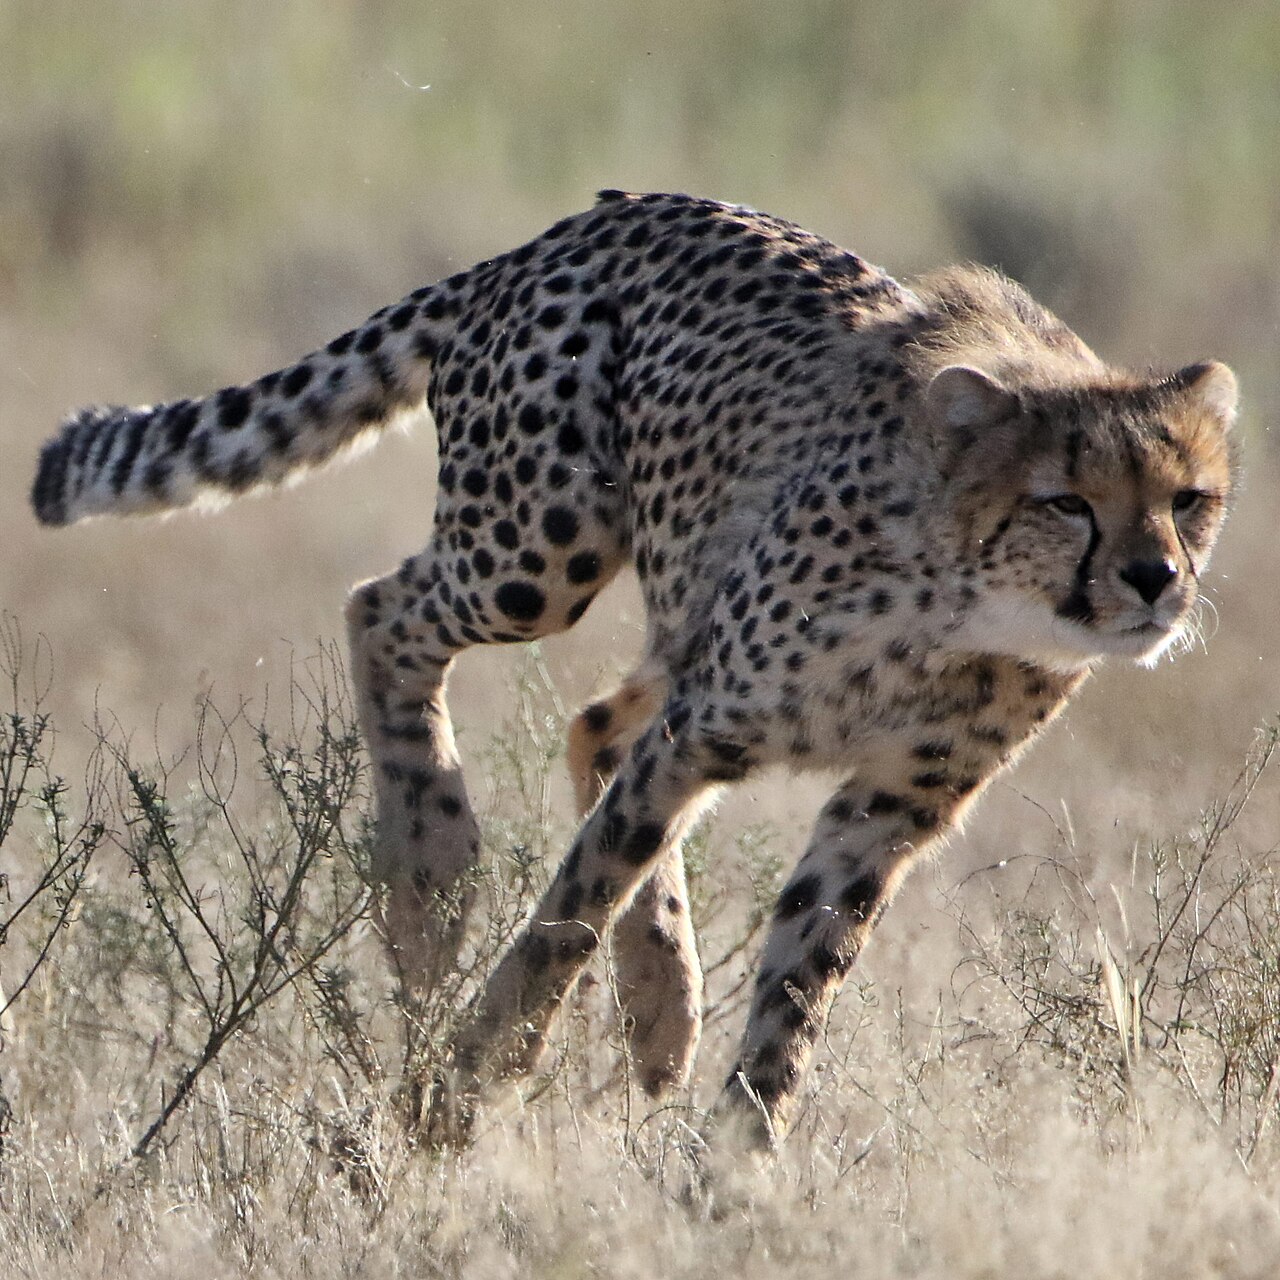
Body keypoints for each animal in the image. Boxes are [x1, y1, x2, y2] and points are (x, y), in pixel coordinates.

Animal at [32, 190, 1239, 1151]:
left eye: (1189, 498)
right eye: (1066, 500)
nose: (1153, 581)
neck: (970, 610)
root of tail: (573, 226)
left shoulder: (887, 809)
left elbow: (799, 980)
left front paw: (738, 1165)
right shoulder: (715, 722)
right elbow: (574, 897)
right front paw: (466, 1085)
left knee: (594, 720)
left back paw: (659, 1011)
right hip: (539, 550)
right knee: (385, 611)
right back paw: (430, 875)